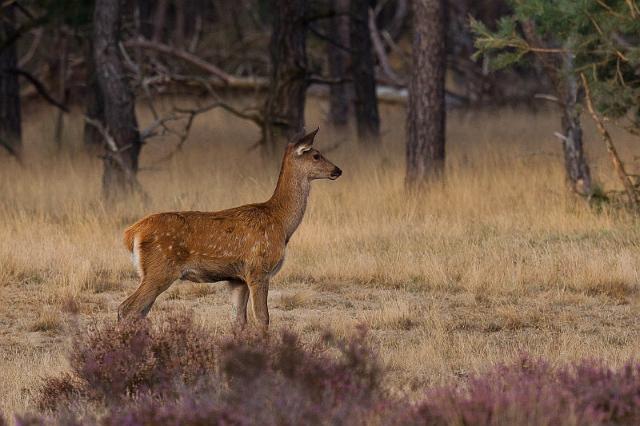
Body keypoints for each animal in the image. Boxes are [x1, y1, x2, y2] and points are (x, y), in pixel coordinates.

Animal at [118, 128, 342, 332]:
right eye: (316, 155)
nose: (337, 170)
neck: (281, 223)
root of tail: (131, 233)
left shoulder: (237, 279)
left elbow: (238, 321)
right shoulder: (258, 269)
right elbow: (263, 318)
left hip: (152, 272)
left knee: (139, 311)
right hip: (160, 268)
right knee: (127, 308)